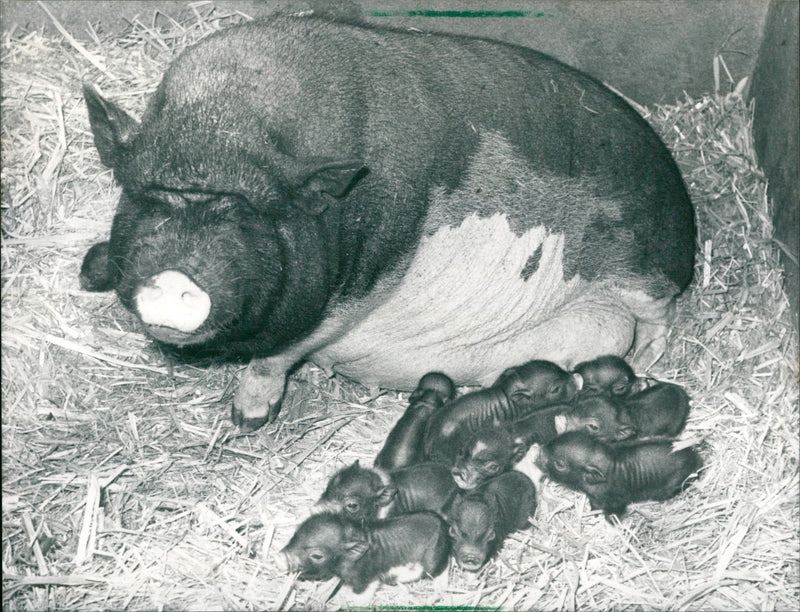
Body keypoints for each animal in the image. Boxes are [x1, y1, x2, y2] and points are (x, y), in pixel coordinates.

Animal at [81, 14, 695, 432]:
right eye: (142, 197)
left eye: (253, 213)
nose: (173, 277)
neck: (229, 121)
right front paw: (91, 271)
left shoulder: (366, 270)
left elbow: (278, 354)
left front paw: (248, 418)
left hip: (640, 260)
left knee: (658, 311)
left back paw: (648, 361)